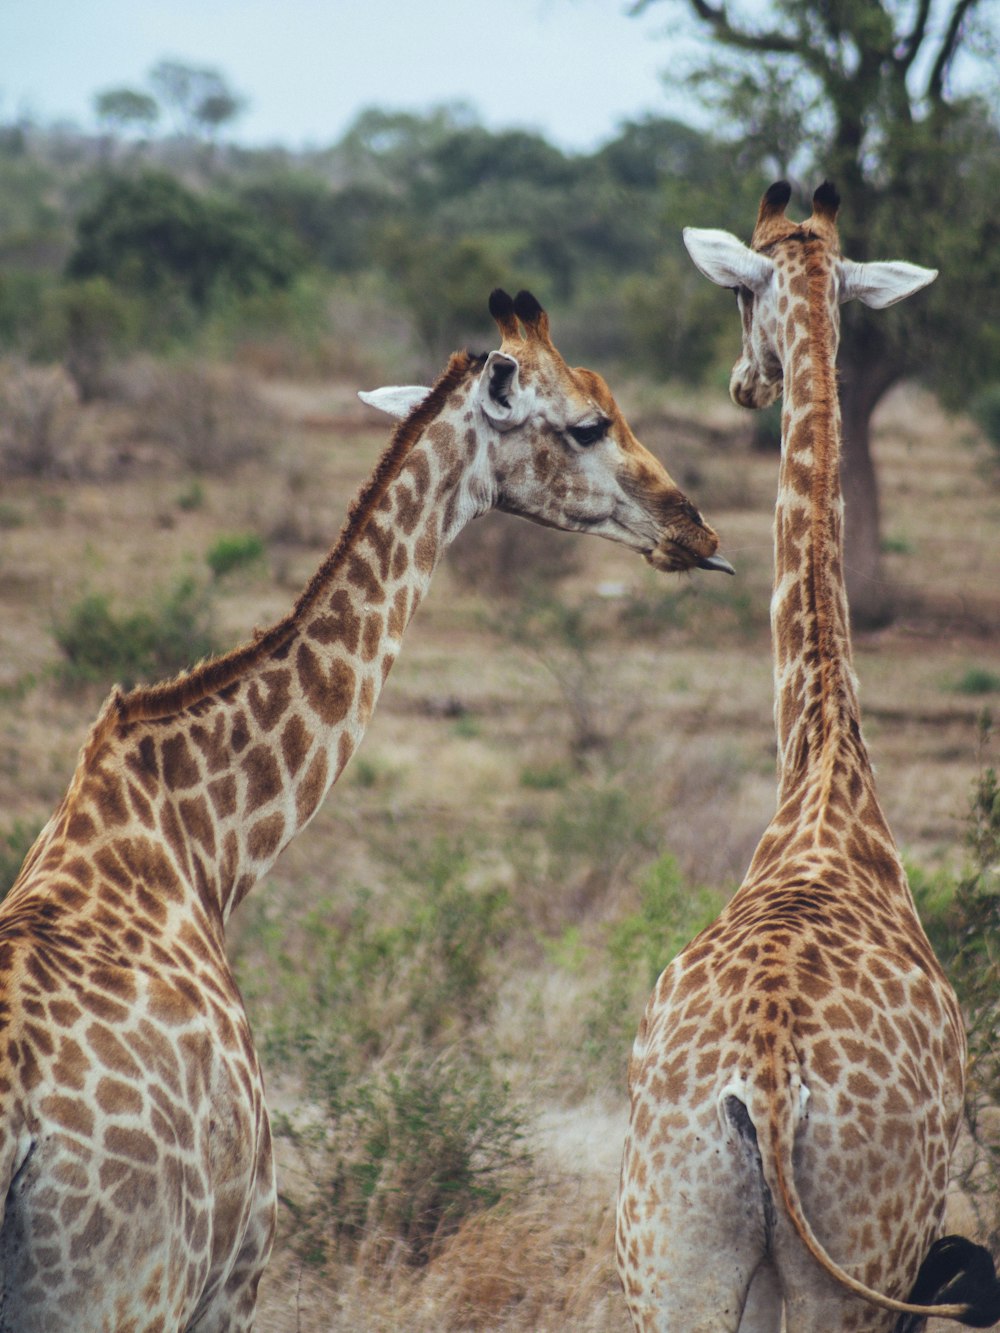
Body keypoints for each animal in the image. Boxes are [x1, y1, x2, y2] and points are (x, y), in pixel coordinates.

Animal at [616, 179, 1000, 1333]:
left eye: (739, 293)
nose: (746, 382)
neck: (823, 765)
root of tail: (770, 1081)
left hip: (678, 1254)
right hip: (856, 1258)